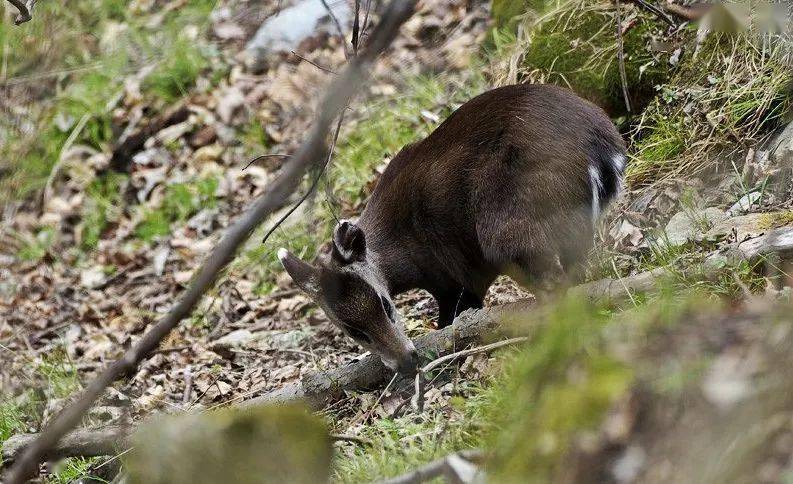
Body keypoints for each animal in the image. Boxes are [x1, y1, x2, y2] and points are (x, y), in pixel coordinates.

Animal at [277, 84, 626, 374]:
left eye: (386, 305)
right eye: (353, 330)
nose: (406, 362)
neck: (404, 253)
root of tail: (605, 150)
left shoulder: (456, 278)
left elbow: (449, 323)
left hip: (507, 231)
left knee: (555, 284)